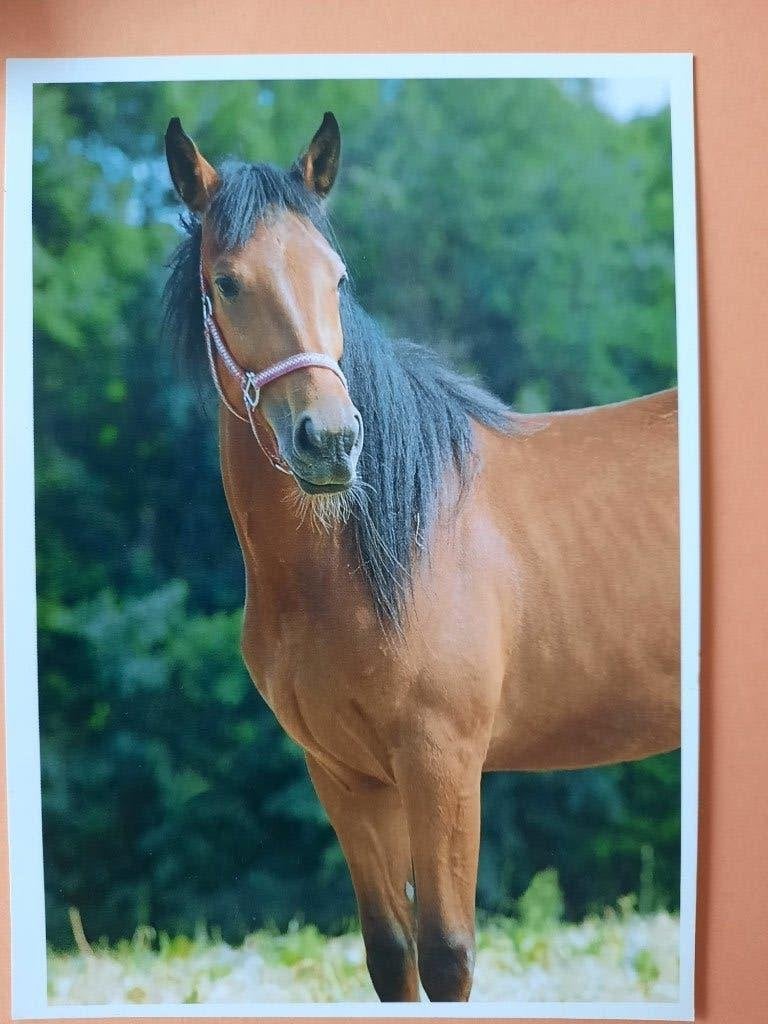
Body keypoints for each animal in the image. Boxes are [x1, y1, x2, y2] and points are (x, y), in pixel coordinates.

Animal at [163, 111, 680, 1003]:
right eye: (227, 282)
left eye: (335, 277)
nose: (331, 441)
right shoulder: (344, 775)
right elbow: (389, 954)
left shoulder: (443, 763)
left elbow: (446, 953)